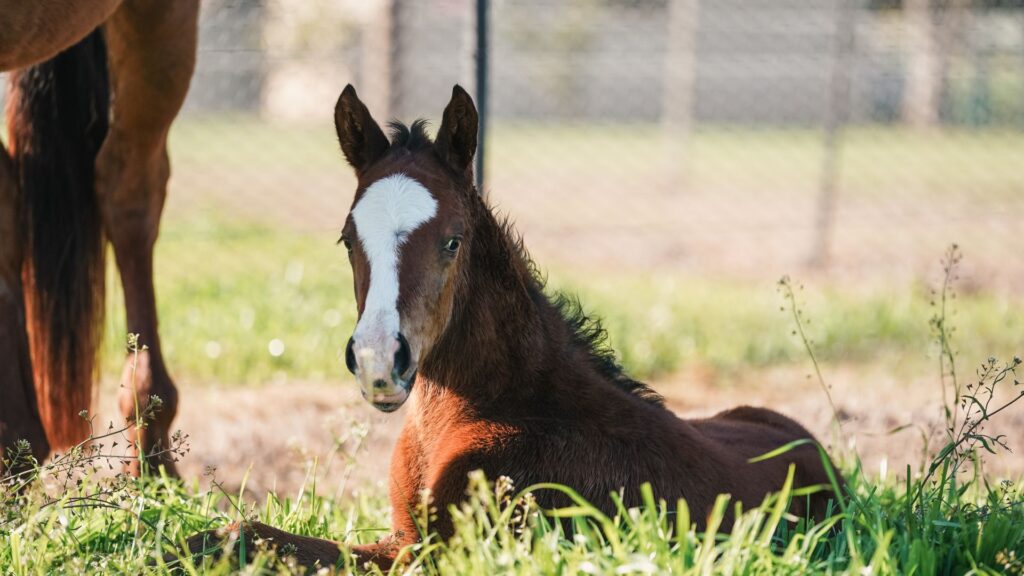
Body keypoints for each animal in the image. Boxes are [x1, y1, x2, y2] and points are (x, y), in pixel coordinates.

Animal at [172, 85, 839, 569]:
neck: (500, 403)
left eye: (452, 240)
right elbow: (236, 533)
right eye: (346, 239)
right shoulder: (403, 535)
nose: (378, 362)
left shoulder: (445, 553)